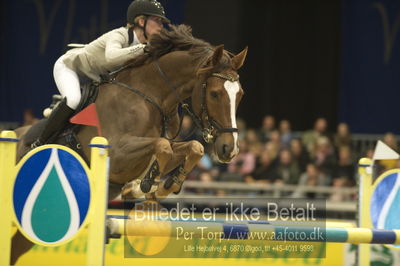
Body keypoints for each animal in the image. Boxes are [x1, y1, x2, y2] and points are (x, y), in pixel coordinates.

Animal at [10, 23, 247, 264]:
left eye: (240, 94)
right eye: (215, 93)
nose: (230, 149)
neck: (152, 96)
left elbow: (192, 148)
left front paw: (165, 185)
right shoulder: (116, 153)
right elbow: (162, 145)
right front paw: (147, 185)